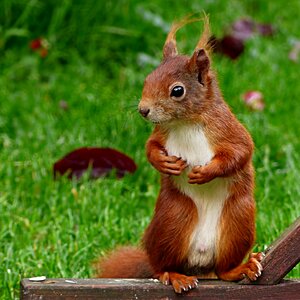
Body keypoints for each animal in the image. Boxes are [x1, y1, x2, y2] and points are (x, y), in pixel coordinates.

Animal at [95, 15, 262, 292]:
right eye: (147, 79)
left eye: (177, 91)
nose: (143, 110)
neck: (185, 122)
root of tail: (200, 266)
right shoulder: (161, 133)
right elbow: (150, 147)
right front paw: (164, 162)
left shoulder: (228, 129)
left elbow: (241, 152)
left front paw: (206, 172)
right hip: (173, 218)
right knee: (162, 266)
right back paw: (174, 275)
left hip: (238, 219)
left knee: (224, 269)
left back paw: (240, 268)